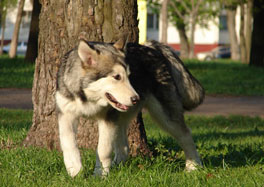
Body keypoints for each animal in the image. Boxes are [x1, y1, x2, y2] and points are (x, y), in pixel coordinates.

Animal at [55, 37, 204, 177]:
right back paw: (115, 166)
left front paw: (99, 175)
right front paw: (74, 170)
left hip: (165, 116)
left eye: (128, 76)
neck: (89, 98)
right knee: (124, 148)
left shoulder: (108, 119)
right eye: (116, 77)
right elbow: (69, 145)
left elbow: (103, 150)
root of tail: (149, 46)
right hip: (121, 119)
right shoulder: (66, 116)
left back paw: (193, 166)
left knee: (186, 134)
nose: (136, 98)